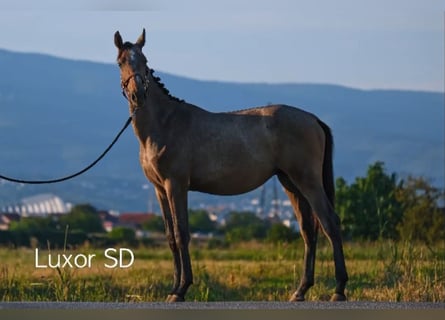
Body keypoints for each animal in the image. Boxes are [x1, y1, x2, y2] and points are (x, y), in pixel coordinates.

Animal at [112, 28, 346, 302]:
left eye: (145, 61)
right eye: (121, 62)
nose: (138, 94)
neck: (165, 124)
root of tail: (313, 119)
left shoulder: (176, 185)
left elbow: (182, 233)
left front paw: (182, 288)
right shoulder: (160, 189)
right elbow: (170, 236)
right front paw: (173, 288)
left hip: (307, 181)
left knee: (330, 223)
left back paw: (339, 289)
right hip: (290, 183)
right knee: (308, 230)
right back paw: (301, 290)